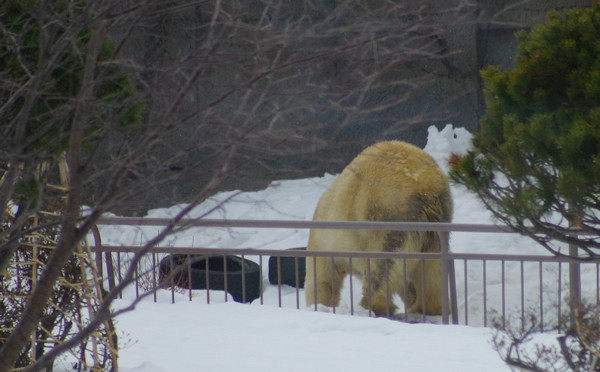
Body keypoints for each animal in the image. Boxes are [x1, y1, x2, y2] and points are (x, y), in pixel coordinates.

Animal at [302, 140, 452, 316]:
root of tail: (425, 187)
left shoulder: (324, 244)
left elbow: (321, 279)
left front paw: (320, 305)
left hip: (385, 216)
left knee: (381, 265)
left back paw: (372, 305)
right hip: (438, 223)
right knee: (433, 266)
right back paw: (429, 307)